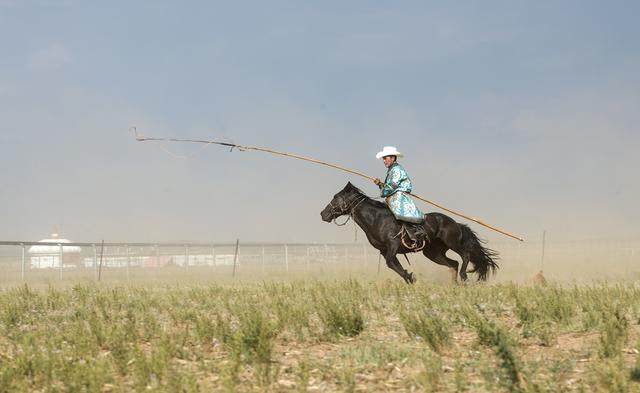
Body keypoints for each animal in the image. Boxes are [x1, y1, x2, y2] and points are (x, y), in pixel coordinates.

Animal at [320, 182, 500, 284]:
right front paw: (409, 278)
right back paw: (455, 285)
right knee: (453, 264)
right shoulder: (384, 251)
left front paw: (410, 277)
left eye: (336, 197)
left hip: (452, 242)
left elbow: (392, 263)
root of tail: (455, 223)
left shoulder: (392, 246)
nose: (323, 214)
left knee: (465, 256)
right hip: (433, 252)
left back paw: (464, 277)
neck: (376, 219)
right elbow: (393, 265)